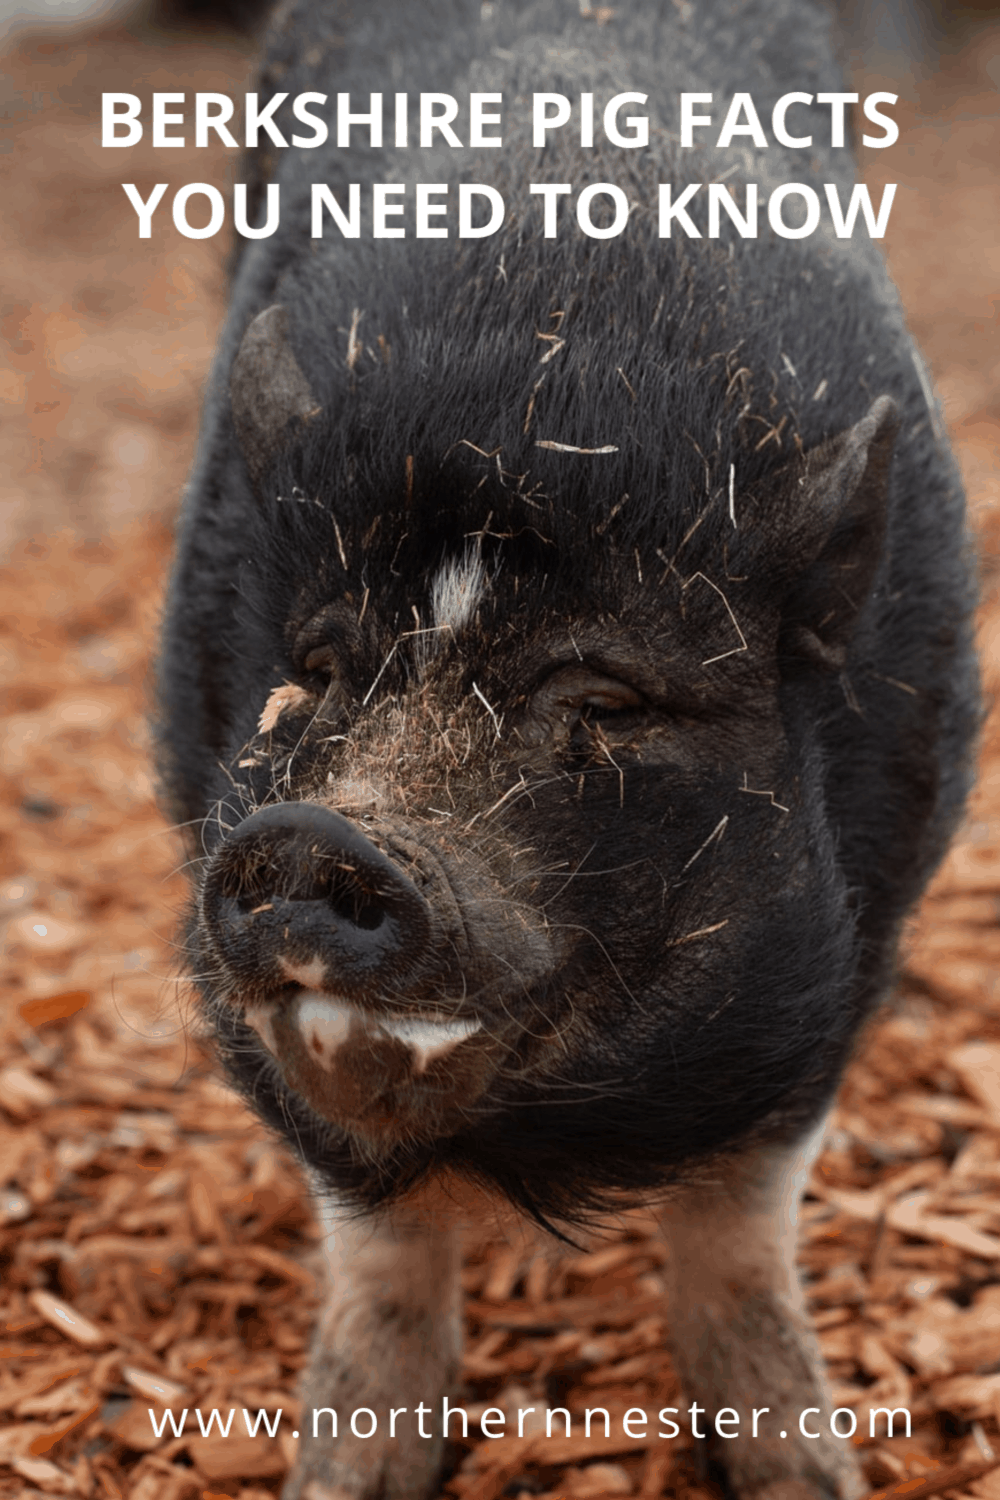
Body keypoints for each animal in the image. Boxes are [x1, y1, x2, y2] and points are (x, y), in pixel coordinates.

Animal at [156, 2, 979, 1499]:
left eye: (603, 696)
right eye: (318, 671)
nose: (313, 836)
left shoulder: (854, 946)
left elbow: (736, 1226)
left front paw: (809, 1472)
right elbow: (379, 1248)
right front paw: (346, 1474)